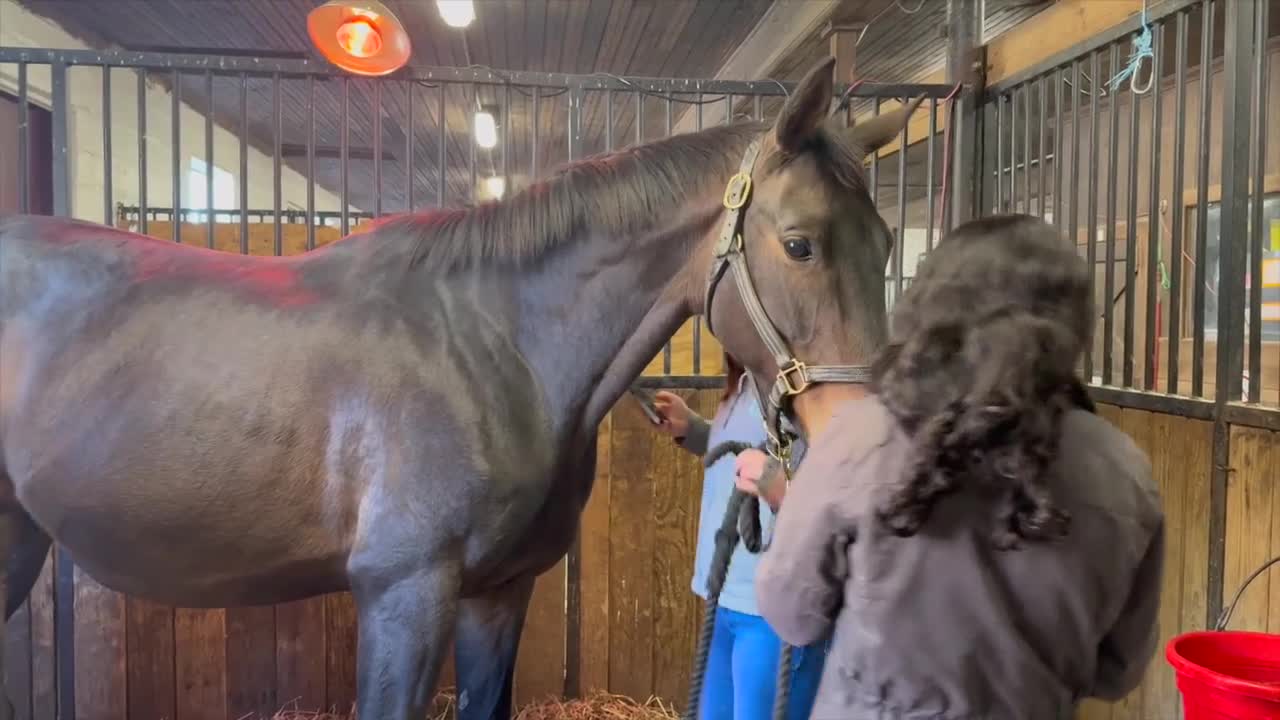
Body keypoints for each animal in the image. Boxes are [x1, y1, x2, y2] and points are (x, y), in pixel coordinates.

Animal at [0, 57, 913, 720]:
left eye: (887, 241)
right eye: (799, 244)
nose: (864, 451)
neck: (491, 348)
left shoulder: (497, 595)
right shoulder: (403, 595)